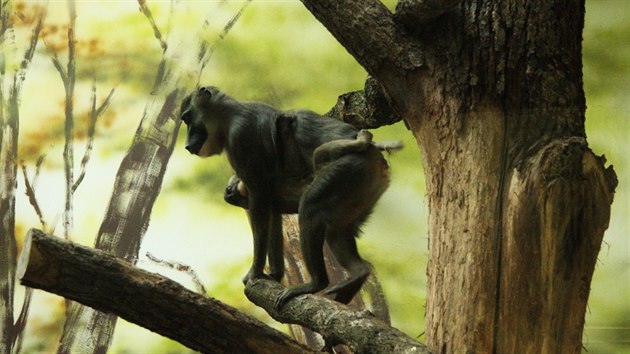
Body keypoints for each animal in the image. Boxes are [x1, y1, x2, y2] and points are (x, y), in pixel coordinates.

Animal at [180, 86, 400, 310]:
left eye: (187, 118)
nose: (187, 144)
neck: (230, 116)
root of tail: (377, 162)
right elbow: (271, 212)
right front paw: (275, 274)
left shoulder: (240, 140)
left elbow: (261, 201)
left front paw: (255, 273)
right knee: (337, 232)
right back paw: (358, 273)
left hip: (347, 169)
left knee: (311, 206)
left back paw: (316, 283)